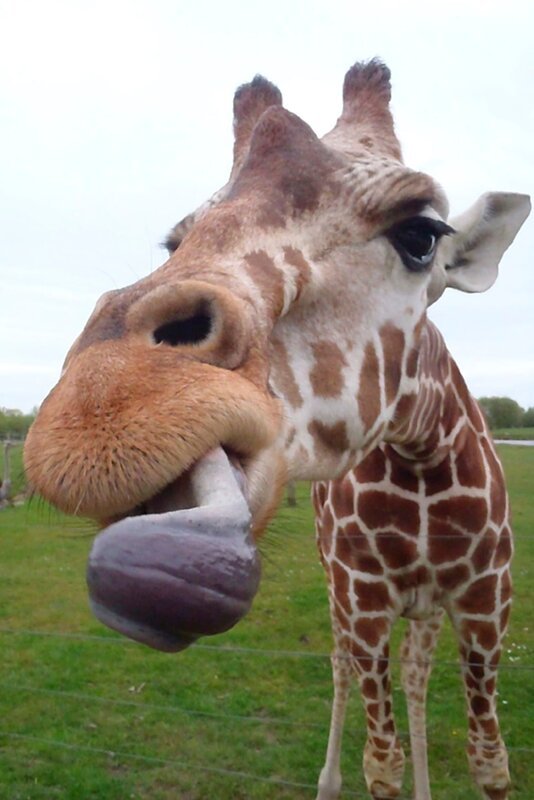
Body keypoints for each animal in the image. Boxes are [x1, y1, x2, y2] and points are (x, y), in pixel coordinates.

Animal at [23, 60, 529, 799]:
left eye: (422, 234)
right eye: (177, 241)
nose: (102, 404)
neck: (423, 465)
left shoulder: (488, 602)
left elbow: (490, 759)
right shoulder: (362, 599)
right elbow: (381, 764)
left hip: (424, 610)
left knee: (414, 675)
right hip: (345, 599)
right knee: (346, 670)